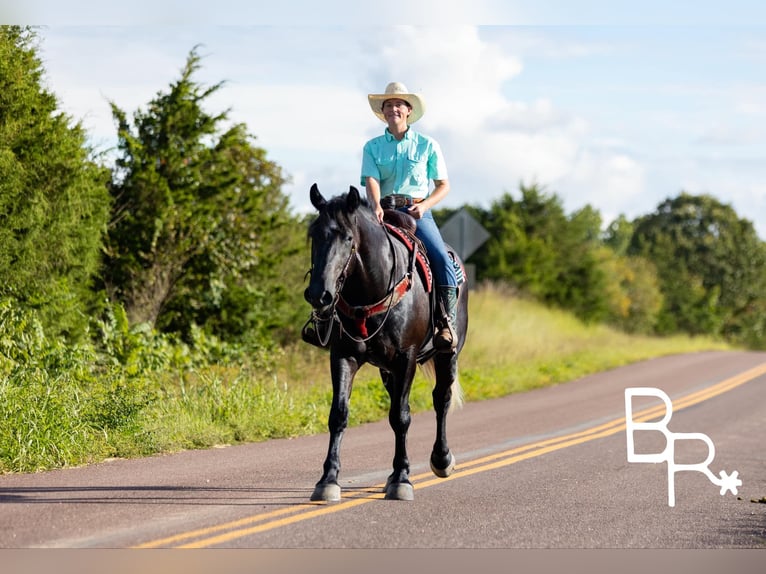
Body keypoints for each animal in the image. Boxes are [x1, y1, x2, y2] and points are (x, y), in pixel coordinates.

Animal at [306, 186, 468, 504]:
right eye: (314, 234)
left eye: (348, 237)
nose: (319, 294)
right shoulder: (343, 356)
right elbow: (338, 414)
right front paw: (328, 480)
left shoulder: (406, 359)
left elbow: (401, 417)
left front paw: (402, 480)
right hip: (386, 370)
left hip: (448, 355)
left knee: (441, 399)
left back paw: (441, 459)